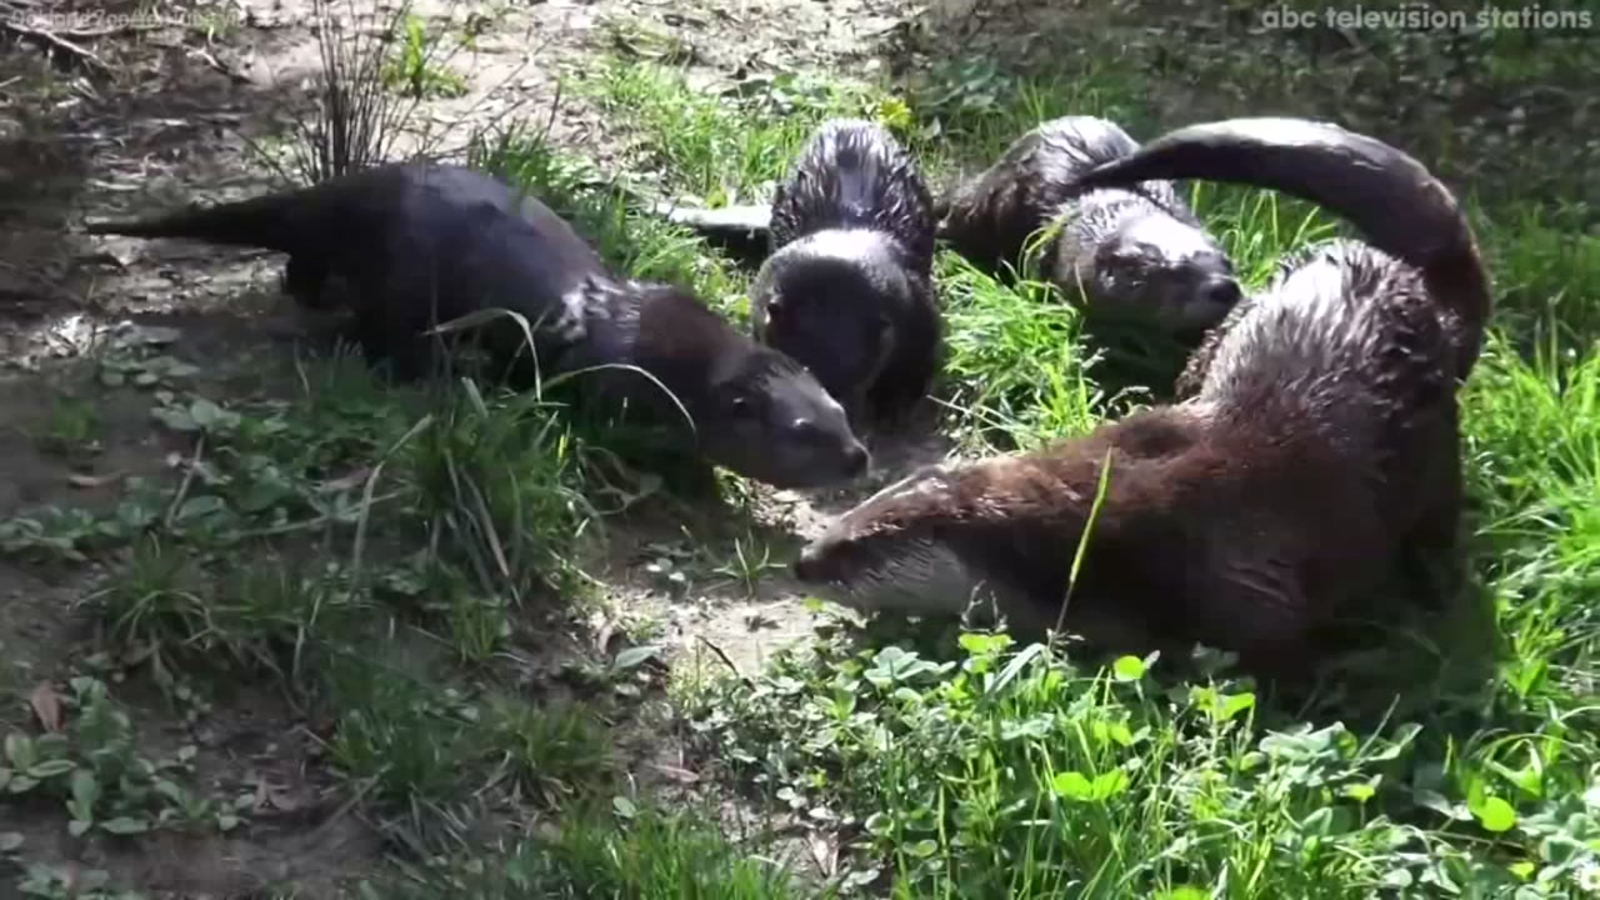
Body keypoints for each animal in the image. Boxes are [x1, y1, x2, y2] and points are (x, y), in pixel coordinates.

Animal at [82, 163, 870, 490]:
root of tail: (350, 190)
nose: (860, 456)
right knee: (367, 330)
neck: (668, 359)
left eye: (838, 409)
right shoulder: (616, 392)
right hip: (395, 285)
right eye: (805, 434)